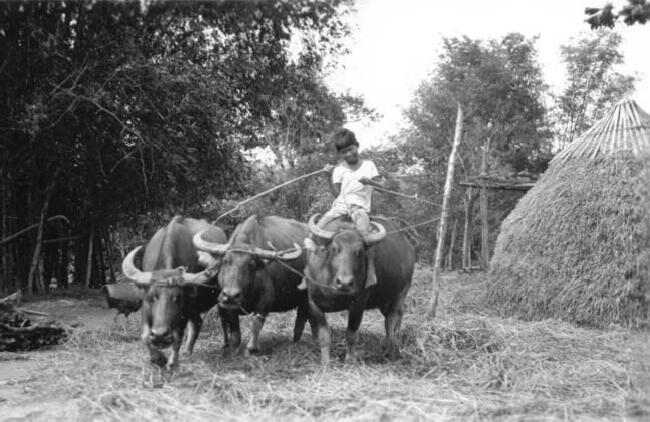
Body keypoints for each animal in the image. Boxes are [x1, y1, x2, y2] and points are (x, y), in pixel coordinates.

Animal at [304, 214, 416, 366]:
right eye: (334, 249)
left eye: (359, 252)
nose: (345, 283)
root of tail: (408, 248)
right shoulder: (313, 303)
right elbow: (324, 334)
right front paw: (325, 361)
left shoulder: (358, 304)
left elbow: (351, 333)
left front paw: (350, 360)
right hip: (384, 301)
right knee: (390, 321)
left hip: (400, 293)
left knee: (393, 320)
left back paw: (393, 351)